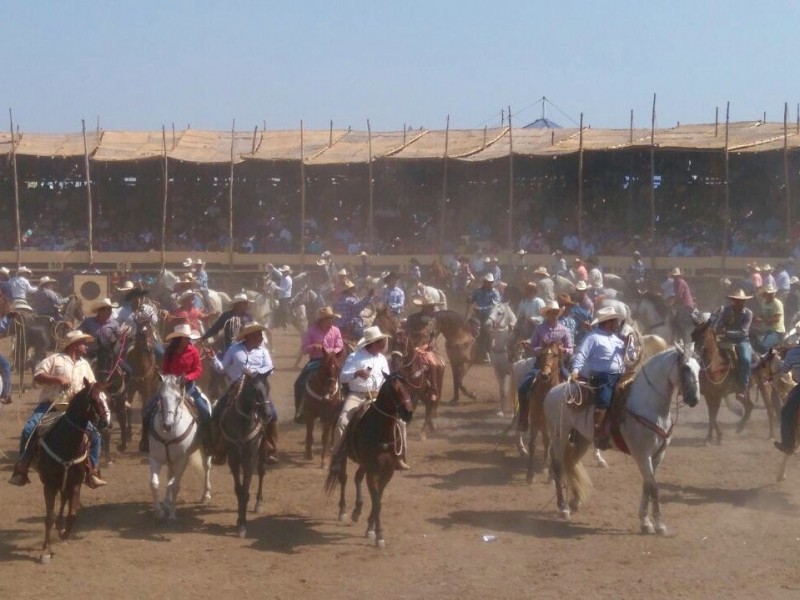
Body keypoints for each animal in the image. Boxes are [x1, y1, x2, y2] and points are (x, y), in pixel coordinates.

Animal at [37, 380, 111, 564]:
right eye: (93, 399)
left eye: (108, 398)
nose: (106, 423)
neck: (66, 443)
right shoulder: (49, 485)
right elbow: (48, 517)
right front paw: (45, 551)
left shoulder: (76, 483)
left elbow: (72, 515)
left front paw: (64, 533)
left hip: (67, 484)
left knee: (64, 500)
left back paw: (60, 526)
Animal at [146, 376, 211, 520]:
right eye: (161, 397)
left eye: (177, 398)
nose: (167, 425)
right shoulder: (155, 458)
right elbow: (154, 484)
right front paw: (159, 511)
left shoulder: (182, 460)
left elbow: (176, 486)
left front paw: (172, 514)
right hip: (170, 460)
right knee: (170, 477)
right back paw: (166, 502)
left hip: (205, 450)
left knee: (206, 467)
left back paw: (206, 494)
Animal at [219, 376, 272, 540]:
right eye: (255, 390)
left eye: (268, 388)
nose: (267, 414)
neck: (242, 423)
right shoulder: (233, 456)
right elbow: (239, 489)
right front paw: (239, 521)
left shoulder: (250, 455)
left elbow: (246, 489)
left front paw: (243, 524)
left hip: (261, 452)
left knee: (261, 472)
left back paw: (259, 503)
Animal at [324, 376, 412, 548]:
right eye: (395, 389)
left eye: (408, 387)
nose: (408, 413)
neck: (381, 432)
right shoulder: (373, 472)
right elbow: (376, 501)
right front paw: (379, 535)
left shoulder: (387, 472)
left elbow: (378, 500)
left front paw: (371, 527)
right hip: (344, 455)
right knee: (343, 478)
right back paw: (343, 511)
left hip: (364, 464)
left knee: (357, 478)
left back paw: (357, 511)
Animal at [544, 342, 700, 536]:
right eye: (685, 367)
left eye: (699, 368)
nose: (695, 399)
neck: (649, 406)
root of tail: (553, 391)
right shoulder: (642, 454)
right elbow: (654, 487)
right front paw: (658, 524)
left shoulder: (658, 455)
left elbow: (647, 486)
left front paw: (645, 521)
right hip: (559, 436)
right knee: (558, 466)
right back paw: (563, 507)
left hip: (582, 439)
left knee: (570, 463)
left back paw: (575, 501)